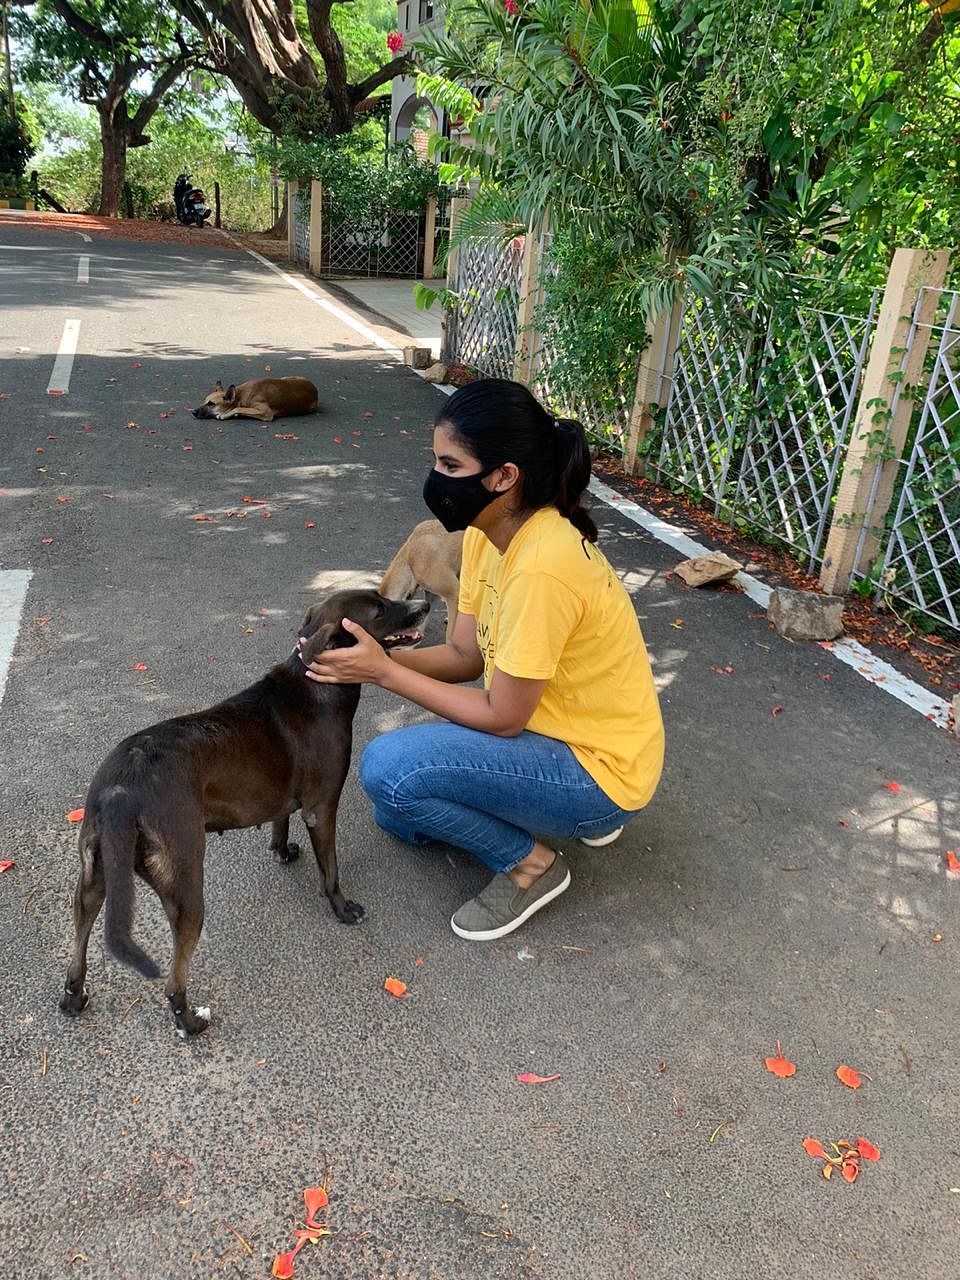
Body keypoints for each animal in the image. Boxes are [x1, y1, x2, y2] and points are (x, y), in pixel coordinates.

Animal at [59, 588, 427, 1039]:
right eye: (378, 609)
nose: (424, 606)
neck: (314, 682)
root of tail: (120, 792)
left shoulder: (286, 799)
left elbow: (279, 822)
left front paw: (283, 852)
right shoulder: (322, 809)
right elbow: (331, 870)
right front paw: (342, 908)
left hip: (91, 881)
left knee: (78, 947)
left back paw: (74, 998)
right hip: (186, 890)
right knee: (173, 981)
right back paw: (191, 1022)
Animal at [192, 373, 320, 424]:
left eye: (211, 404)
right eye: (205, 401)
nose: (193, 412)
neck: (241, 394)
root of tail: (315, 389)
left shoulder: (267, 413)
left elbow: (238, 408)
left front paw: (225, 414)